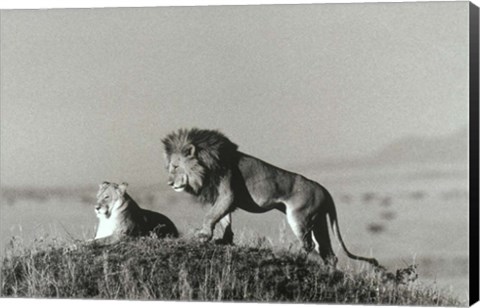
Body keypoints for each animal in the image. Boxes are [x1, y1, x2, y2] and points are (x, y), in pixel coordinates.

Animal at [163, 128, 380, 268]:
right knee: (327, 251)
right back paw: (330, 271)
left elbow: (211, 215)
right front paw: (224, 240)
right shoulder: (220, 197)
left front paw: (202, 235)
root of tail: (324, 190)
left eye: (175, 167)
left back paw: (294, 257)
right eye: (170, 168)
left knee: (308, 245)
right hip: (318, 221)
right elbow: (224, 220)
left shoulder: (227, 192)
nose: (169, 183)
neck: (208, 164)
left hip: (300, 217)